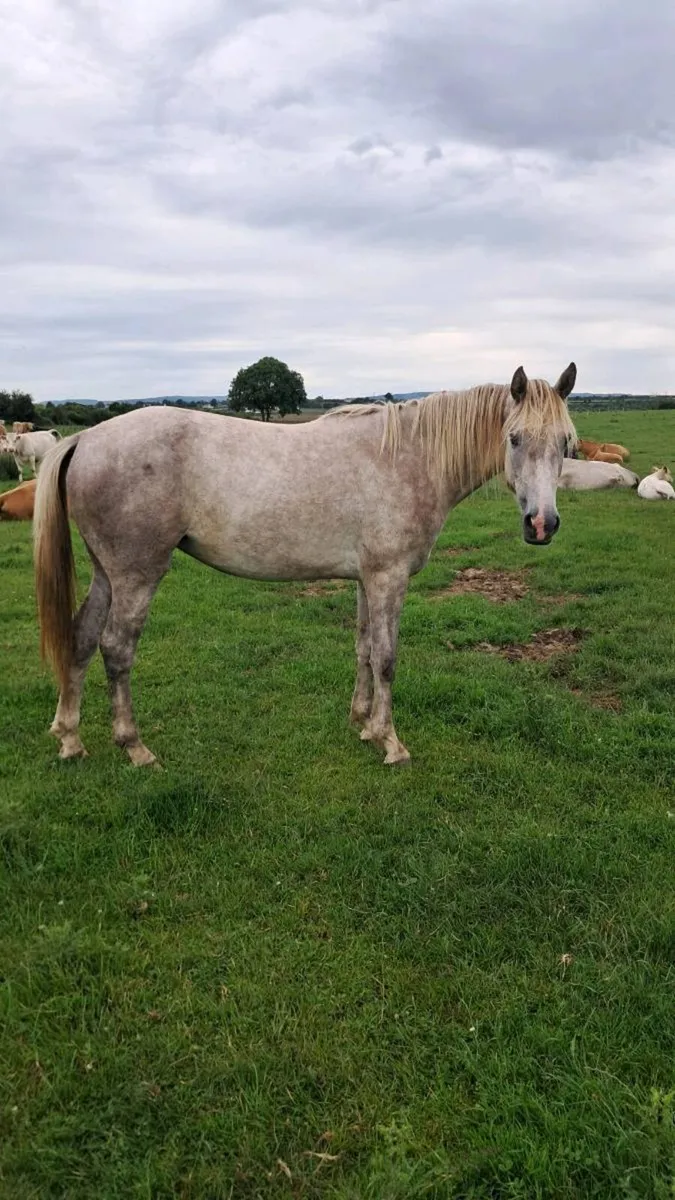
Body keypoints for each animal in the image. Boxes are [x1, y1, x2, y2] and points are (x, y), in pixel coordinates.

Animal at [34, 363, 577, 767]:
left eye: (566, 443)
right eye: (514, 438)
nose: (542, 525)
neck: (409, 457)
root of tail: (87, 439)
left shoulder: (366, 579)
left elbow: (363, 648)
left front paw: (364, 726)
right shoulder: (389, 578)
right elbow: (387, 657)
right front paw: (392, 743)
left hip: (106, 573)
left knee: (81, 638)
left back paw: (70, 738)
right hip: (136, 575)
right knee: (116, 648)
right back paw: (135, 747)